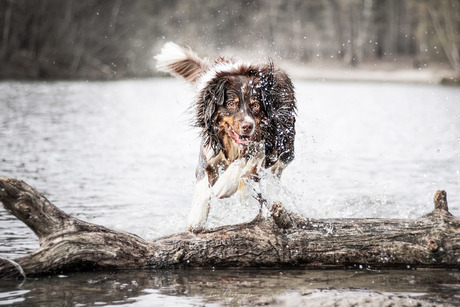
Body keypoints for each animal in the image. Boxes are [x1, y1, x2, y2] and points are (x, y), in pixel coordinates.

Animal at [156, 42, 296, 233]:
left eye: (256, 105)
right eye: (231, 103)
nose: (248, 126)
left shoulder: (266, 144)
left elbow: (246, 159)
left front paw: (225, 185)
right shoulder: (208, 151)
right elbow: (203, 184)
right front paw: (197, 218)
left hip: (285, 149)